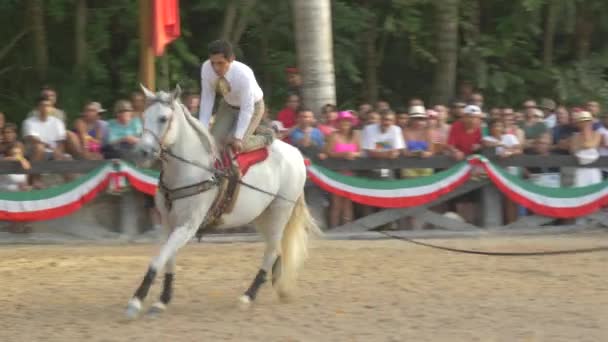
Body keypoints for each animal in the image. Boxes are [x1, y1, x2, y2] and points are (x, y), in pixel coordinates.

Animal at [126, 85, 320, 318]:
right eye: (143, 116)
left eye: (163, 118)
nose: (142, 153)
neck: (190, 169)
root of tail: (297, 154)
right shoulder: (168, 224)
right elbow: (168, 259)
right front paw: (162, 300)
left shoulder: (188, 226)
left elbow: (158, 260)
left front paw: (136, 301)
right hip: (262, 216)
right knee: (277, 249)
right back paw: (278, 285)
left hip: (280, 211)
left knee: (272, 250)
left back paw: (248, 296)